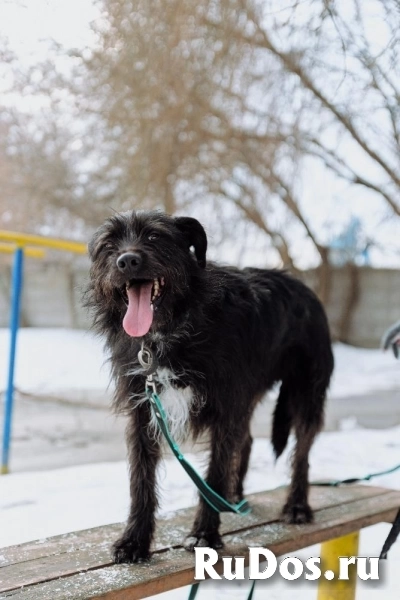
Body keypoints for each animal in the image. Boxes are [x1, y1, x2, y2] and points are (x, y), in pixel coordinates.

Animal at [86, 210, 334, 564]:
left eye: (154, 237)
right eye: (109, 245)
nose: (127, 260)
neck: (167, 334)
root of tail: (305, 288)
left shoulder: (225, 409)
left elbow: (214, 470)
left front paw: (204, 534)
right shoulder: (143, 412)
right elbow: (140, 480)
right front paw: (134, 541)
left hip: (305, 394)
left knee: (301, 453)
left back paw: (297, 506)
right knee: (246, 441)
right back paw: (233, 497)